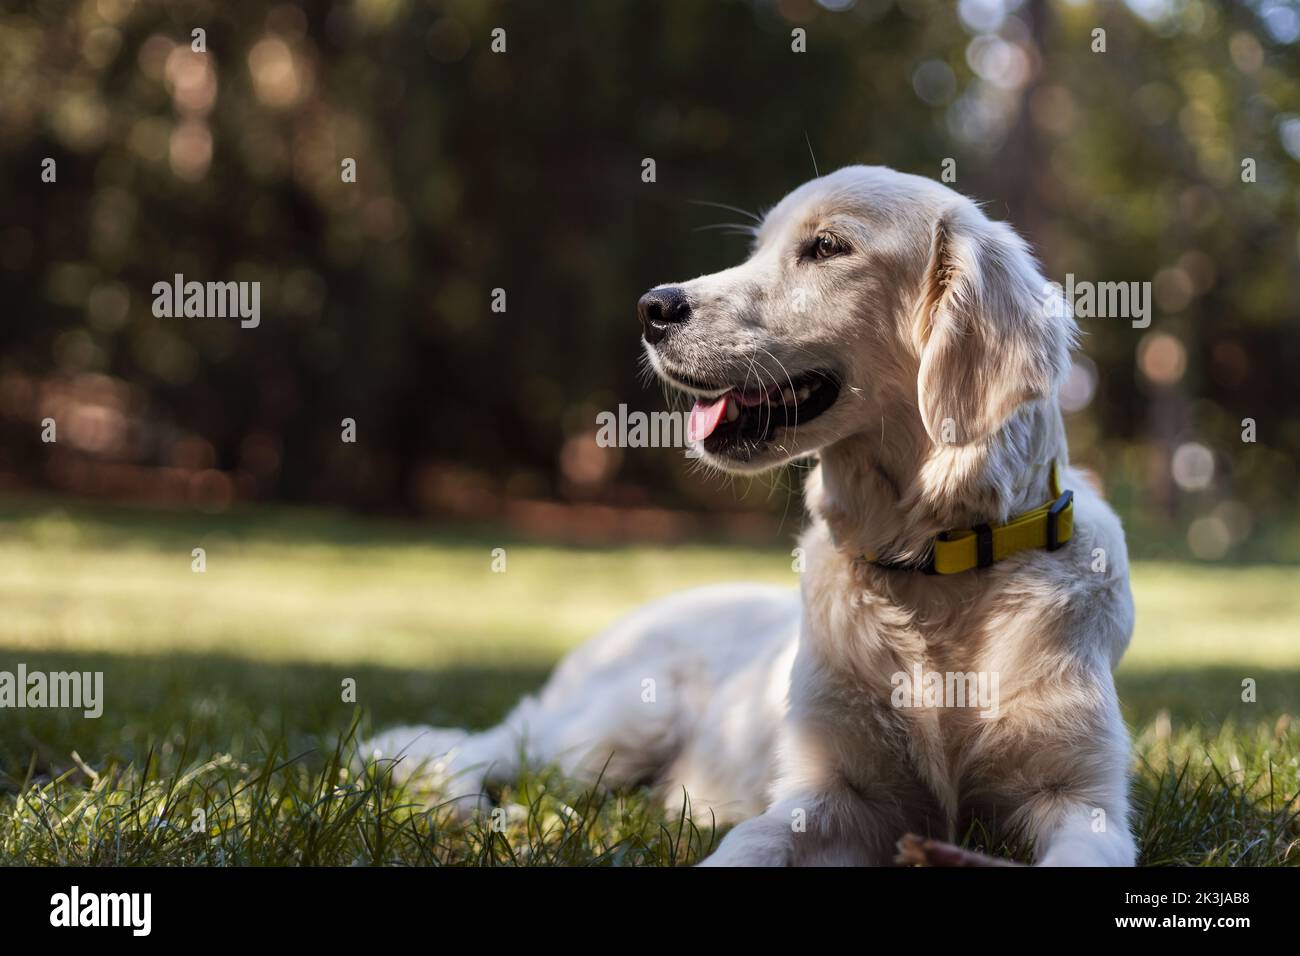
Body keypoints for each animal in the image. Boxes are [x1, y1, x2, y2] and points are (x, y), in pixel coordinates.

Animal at [366, 167, 1138, 868]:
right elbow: (751, 842)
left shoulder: (1082, 800)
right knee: (477, 754)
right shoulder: (831, 790)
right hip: (618, 725)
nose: (651, 307)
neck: (931, 568)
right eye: (757, 247)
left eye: (827, 247)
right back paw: (461, 808)